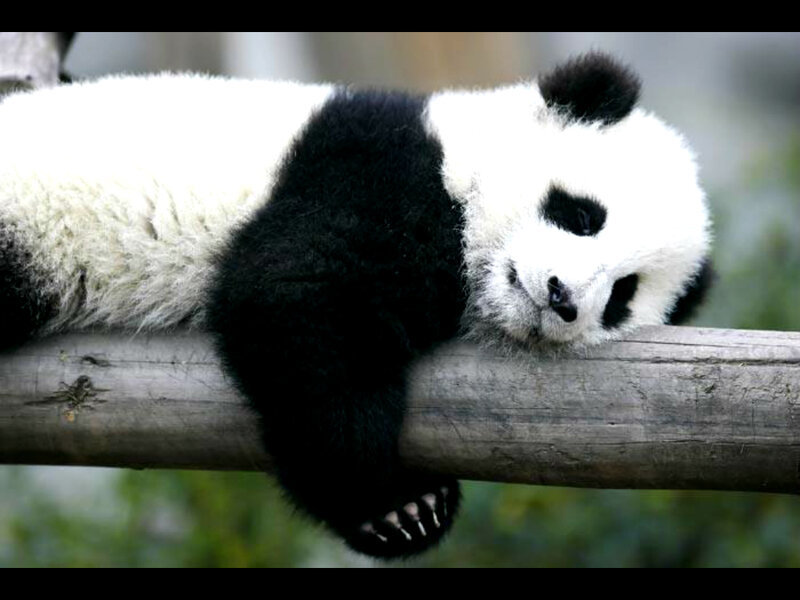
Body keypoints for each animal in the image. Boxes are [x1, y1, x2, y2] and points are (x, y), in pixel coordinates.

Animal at [0, 52, 712, 559]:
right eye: (582, 214)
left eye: (622, 294)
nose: (563, 299)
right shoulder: (376, 171)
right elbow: (294, 298)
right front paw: (397, 506)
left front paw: (407, 513)